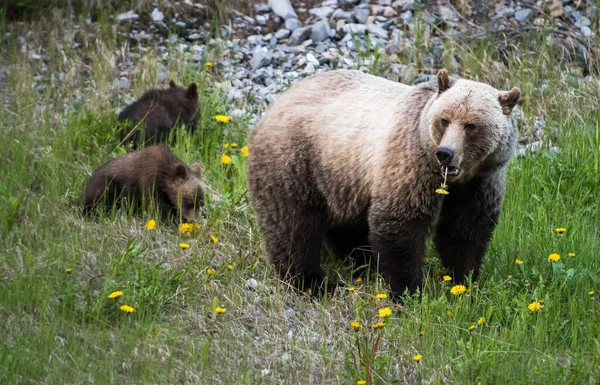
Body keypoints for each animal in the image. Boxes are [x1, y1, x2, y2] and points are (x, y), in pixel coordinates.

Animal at [247, 69, 520, 296]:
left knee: (346, 227)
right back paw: (313, 283)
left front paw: (464, 282)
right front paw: (408, 292)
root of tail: (277, 102)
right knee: (293, 225)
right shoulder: (412, 167)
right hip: (298, 162)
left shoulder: (480, 184)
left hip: (344, 180)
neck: (453, 181)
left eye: (471, 125)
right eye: (444, 120)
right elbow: (400, 225)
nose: (445, 153)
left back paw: (360, 263)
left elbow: (466, 232)